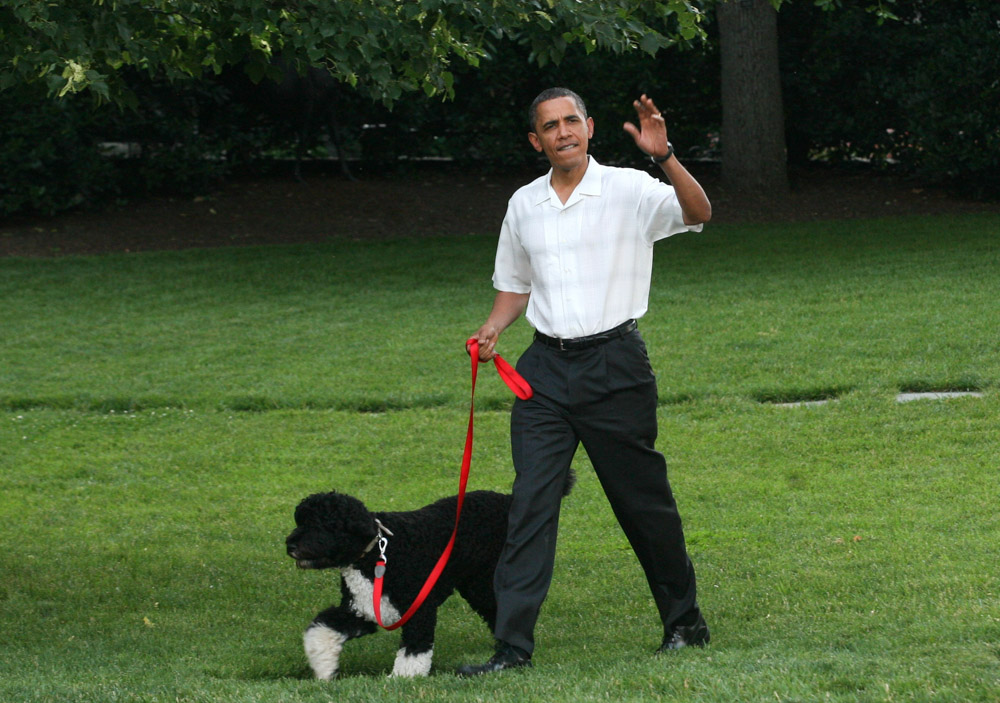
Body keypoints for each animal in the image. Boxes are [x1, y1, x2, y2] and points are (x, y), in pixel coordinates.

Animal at [286, 476, 576, 680]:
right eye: (300, 520)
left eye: (321, 524)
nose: (290, 544)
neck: (378, 554)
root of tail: (508, 500)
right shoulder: (361, 610)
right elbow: (322, 628)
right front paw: (323, 667)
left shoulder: (419, 609)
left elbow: (415, 649)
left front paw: (403, 679)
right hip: (476, 585)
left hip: (489, 578)